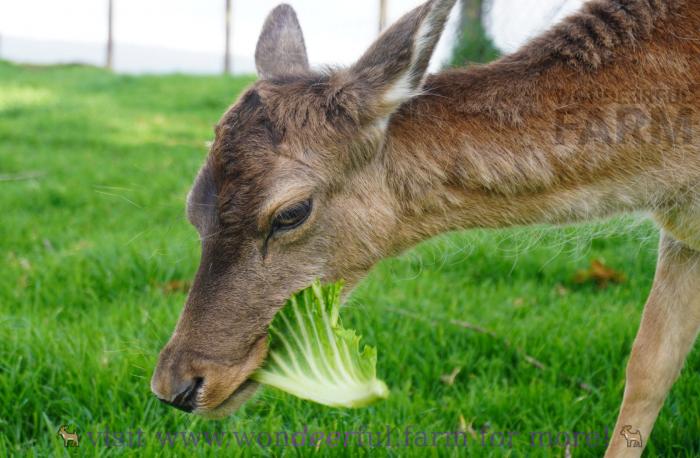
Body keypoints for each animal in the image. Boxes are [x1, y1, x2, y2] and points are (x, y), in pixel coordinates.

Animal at [152, 1, 700, 456]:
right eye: (192, 208)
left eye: (291, 212)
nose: (176, 385)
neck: (672, 173)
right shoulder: (681, 236)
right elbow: (648, 367)